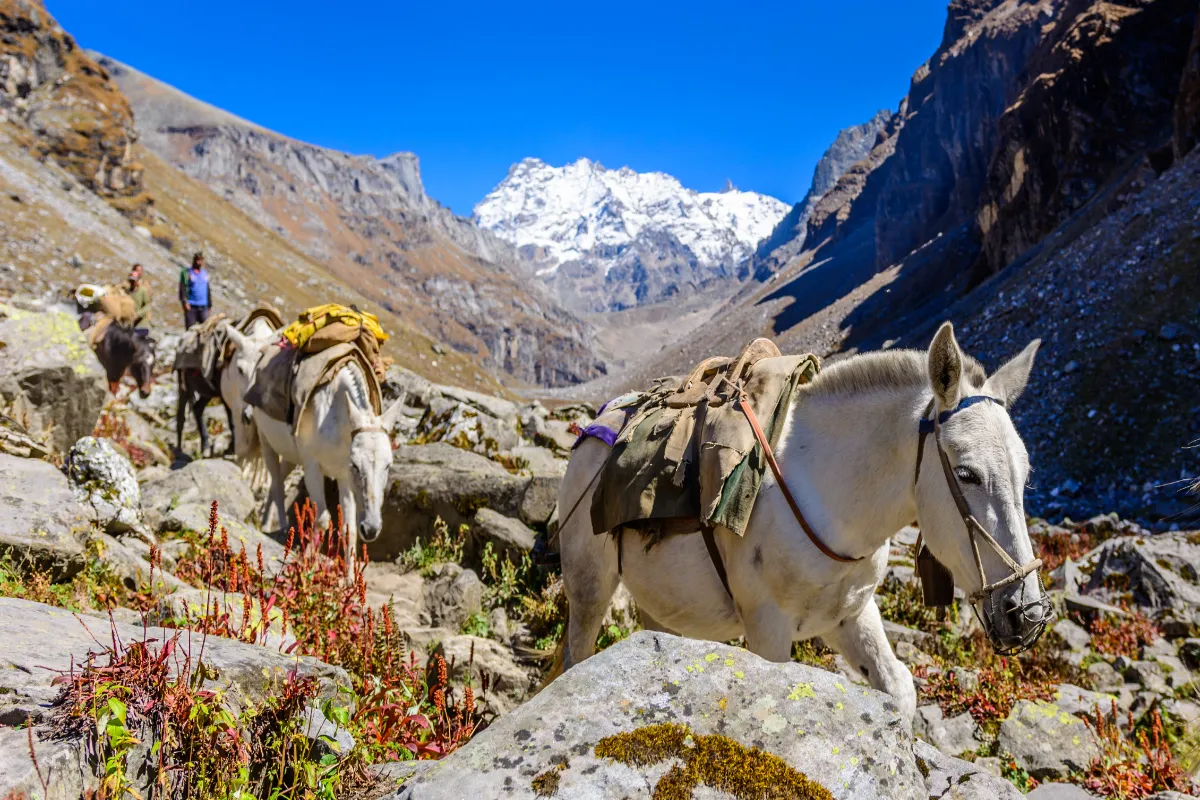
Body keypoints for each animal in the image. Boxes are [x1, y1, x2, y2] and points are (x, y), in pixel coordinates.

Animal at [251, 359, 405, 577]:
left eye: (388, 465)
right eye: (355, 464)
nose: (371, 529)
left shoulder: (344, 477)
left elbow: (349, 529)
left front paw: (350, 582)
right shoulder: (312, 468)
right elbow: (322, 520)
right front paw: (308, 564)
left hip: (290, 455)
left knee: (278, 478)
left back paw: (267, 523)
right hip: (267, 441)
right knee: (276, 481)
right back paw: (279, 526)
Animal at [554, 322, 1048, 723]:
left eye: (1026, 475)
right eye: (966, 474)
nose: (1025, 615)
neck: (827, 494)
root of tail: (597, 426)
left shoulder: (851, 615)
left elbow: (898, 687)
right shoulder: (768, 630)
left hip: (662, 606)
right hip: (589, 587)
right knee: (576, 654)